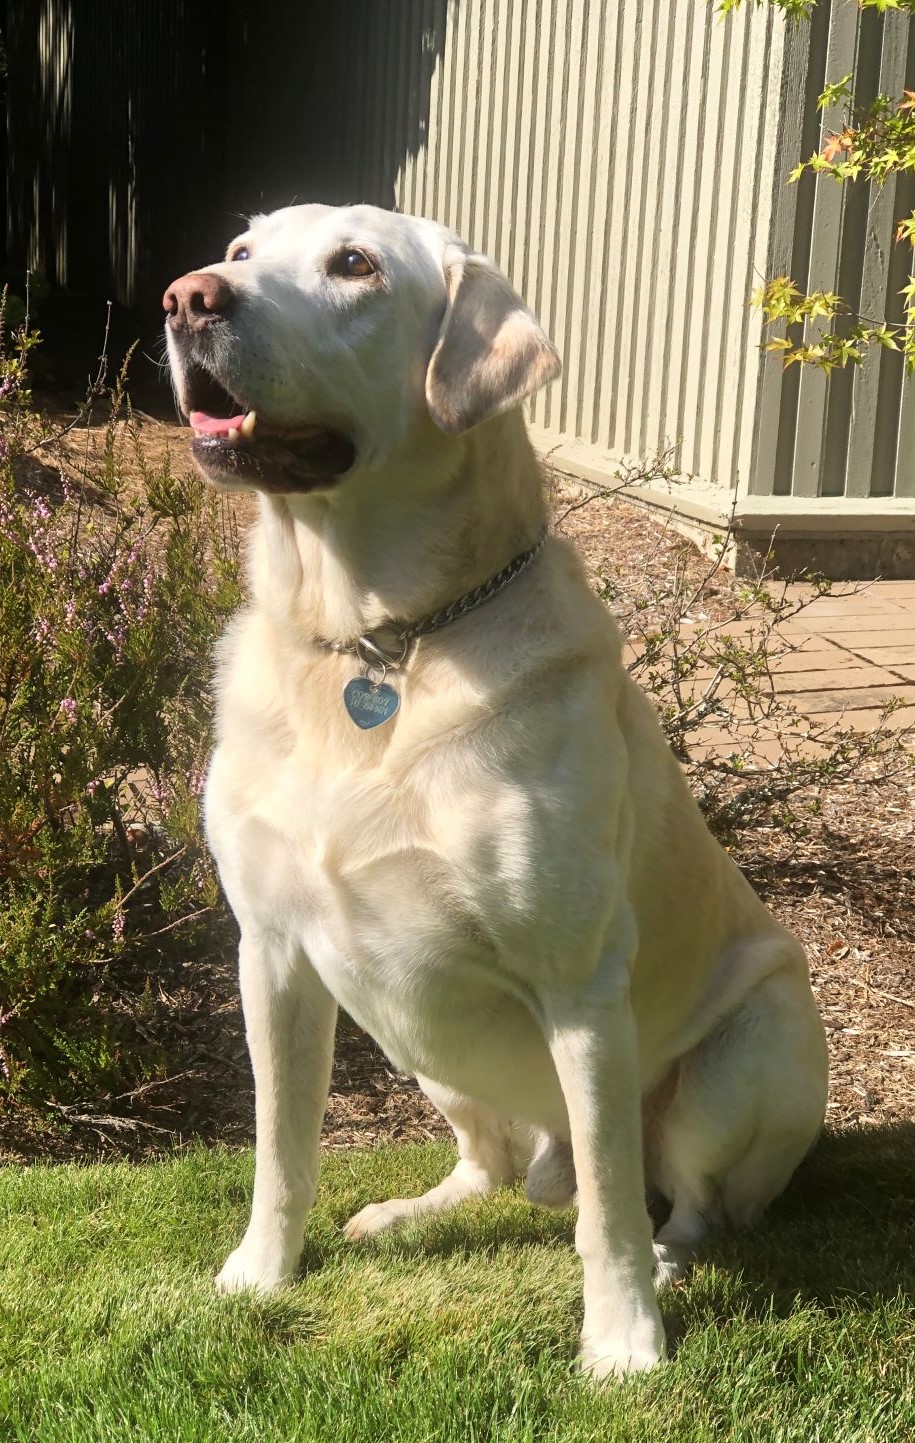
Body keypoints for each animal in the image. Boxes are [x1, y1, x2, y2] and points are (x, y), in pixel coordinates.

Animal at [163, 203, 825, 1373]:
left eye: (354, 266)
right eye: (242, 252)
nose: (187, 297)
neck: (374, 641)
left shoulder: (580, 983)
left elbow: (609, 1206)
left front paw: (622, 1345)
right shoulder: (274, 952)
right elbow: (281, 1146)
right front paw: (260, 1273)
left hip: (747, 1056)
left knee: (679, 1197)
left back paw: (669, 1262)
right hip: (410, 1022)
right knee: (497, 1164)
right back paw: (410, 1212)